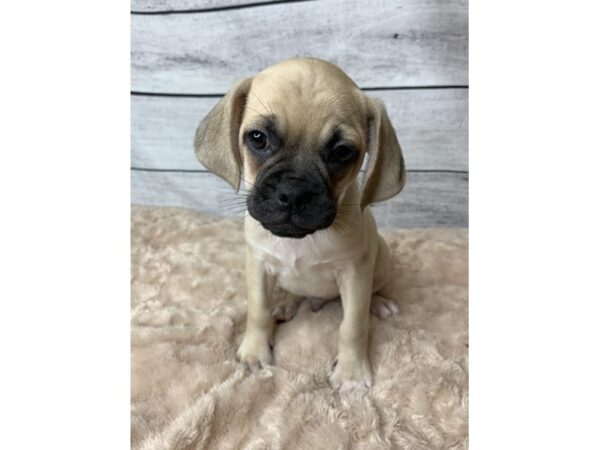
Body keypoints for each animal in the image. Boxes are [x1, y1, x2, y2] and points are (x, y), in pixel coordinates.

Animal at [195, 57, 406, 390]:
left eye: (342, 151)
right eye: (258, 138)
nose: (293, 192)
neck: (301, 241)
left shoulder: (355, 274)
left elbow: (353, 325)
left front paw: (351, 371)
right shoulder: (257, 264)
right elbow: (257, 311)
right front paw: (255, 351)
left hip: (382, 260)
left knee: (373, 292)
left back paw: (379, 303)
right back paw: (287, 304)